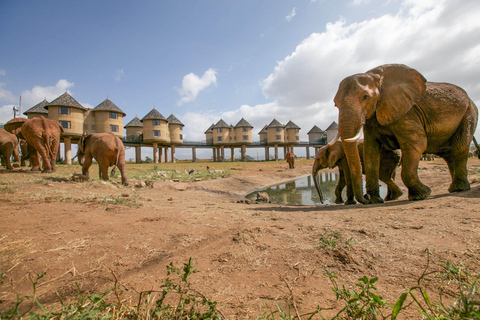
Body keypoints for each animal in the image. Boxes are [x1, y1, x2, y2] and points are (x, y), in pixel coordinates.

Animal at [336, 64, 478, 204]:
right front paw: (375, 200)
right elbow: (370, 152)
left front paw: (422, 194)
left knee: (459, 148)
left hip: (469, 113)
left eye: (365, 97)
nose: (366, 198)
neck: (375, 77)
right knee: (449, 154)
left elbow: (417, 144)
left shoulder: (407, 112)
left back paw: (459, 188)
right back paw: (454, 188)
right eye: (336, 104)